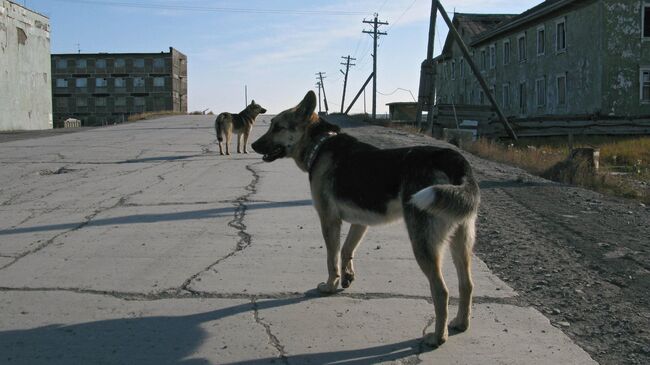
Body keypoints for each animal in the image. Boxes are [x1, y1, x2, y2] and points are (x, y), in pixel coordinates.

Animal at [251, 91, 478, 346]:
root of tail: (455, 159)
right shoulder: (360, 222)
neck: (320, 144)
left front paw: (330, 286)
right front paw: (347, 276)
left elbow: (331, 259)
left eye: (277, 127)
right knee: (467, 285)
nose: (252, 145)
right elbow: (346, 250)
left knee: (441, 291)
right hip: (461, 241)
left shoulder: (329, 220)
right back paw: (461, 323)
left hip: (423, 244)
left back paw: (437, 337)